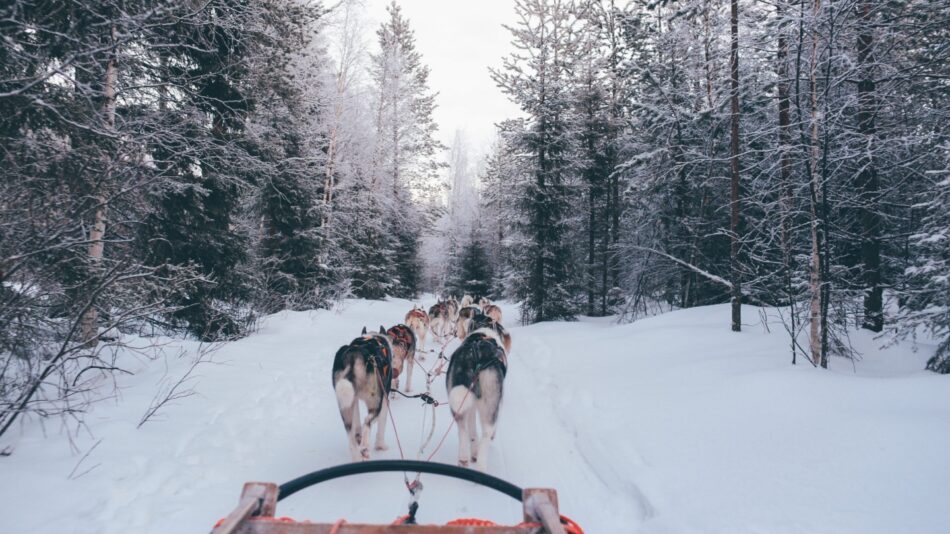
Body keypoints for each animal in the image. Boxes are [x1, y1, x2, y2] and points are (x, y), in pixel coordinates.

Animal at [334, 328, 394, 462]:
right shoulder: (384, 399)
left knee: (351, 434)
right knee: (367, 421)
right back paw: (365, 448)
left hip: (345, 407)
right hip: (375, 401)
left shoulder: (354, 400)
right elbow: (381, 424)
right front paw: (380, 445)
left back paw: (357, 455)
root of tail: (354, 355)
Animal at [448, 326, 510, 474]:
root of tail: (473, 356)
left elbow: (471, 430)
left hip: (459, 404)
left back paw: (465, 458)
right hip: (491, 406)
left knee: (464, 431)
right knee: (486, 435)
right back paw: (480, 466)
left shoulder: (470, 406)